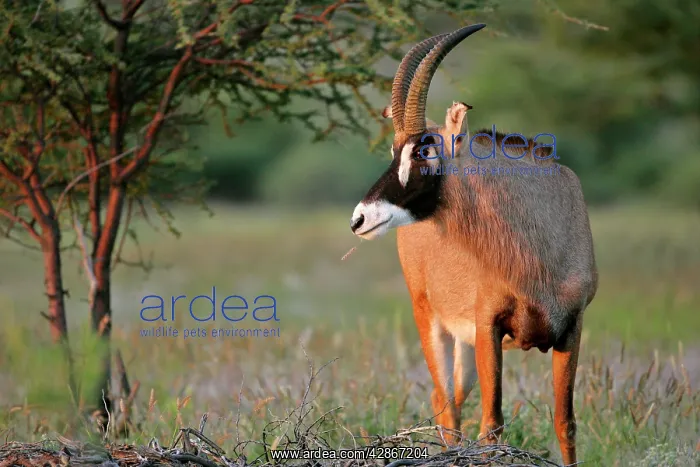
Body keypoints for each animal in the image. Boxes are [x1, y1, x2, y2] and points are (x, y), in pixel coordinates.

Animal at [349, 24, 597, 465]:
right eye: (395, 150)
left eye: (424, 149)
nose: (359, 218)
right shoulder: (489, 327)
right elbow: (492, 425)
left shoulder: (572, 328)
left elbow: (565, 423)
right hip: (431, 321)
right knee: (445, 403)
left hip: (463, 341)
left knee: (452, 401)